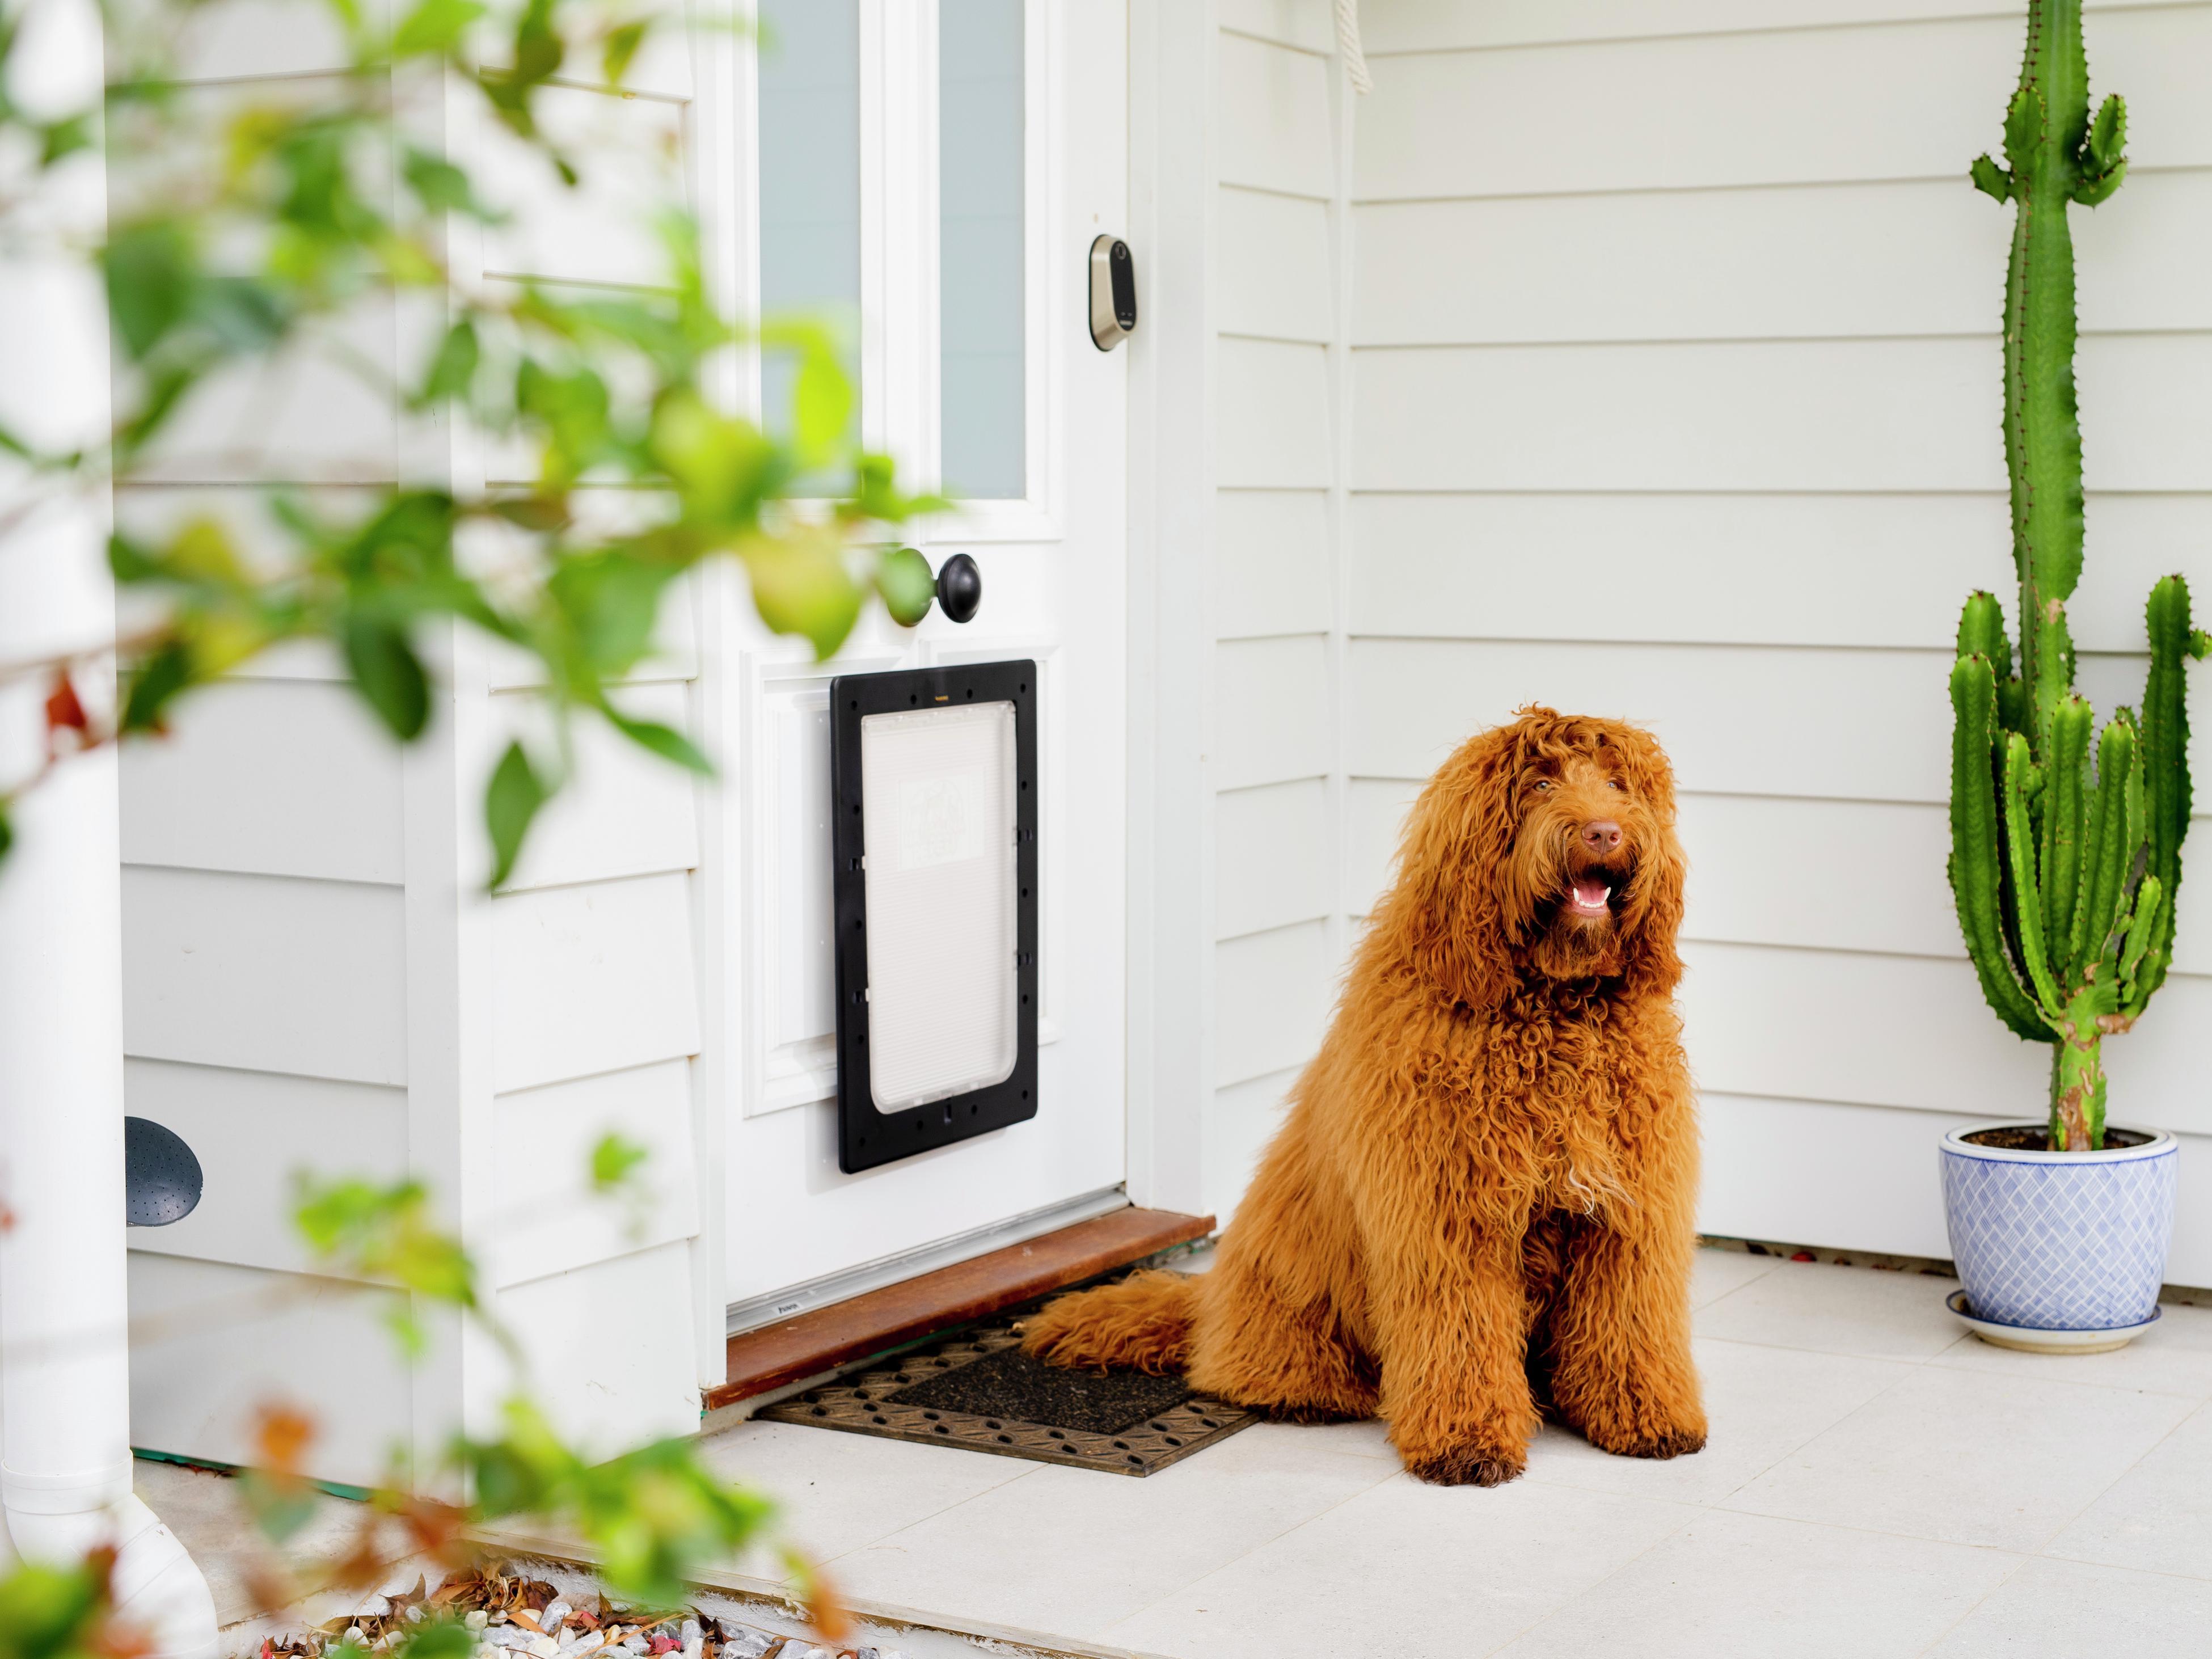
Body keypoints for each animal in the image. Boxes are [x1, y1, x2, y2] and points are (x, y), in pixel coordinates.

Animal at [1026, 708, 1699, 1486]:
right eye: (1538, 783)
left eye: (1618, 785)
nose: (1605, 833)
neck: (1550, 1011)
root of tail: (1210, 1296)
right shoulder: (1448, 1220)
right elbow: (1460, 1331)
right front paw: (1468, 1441)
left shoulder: (1627, 1218)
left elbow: (1631, 1322)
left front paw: (1648, 1416)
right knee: (1245, 1367)